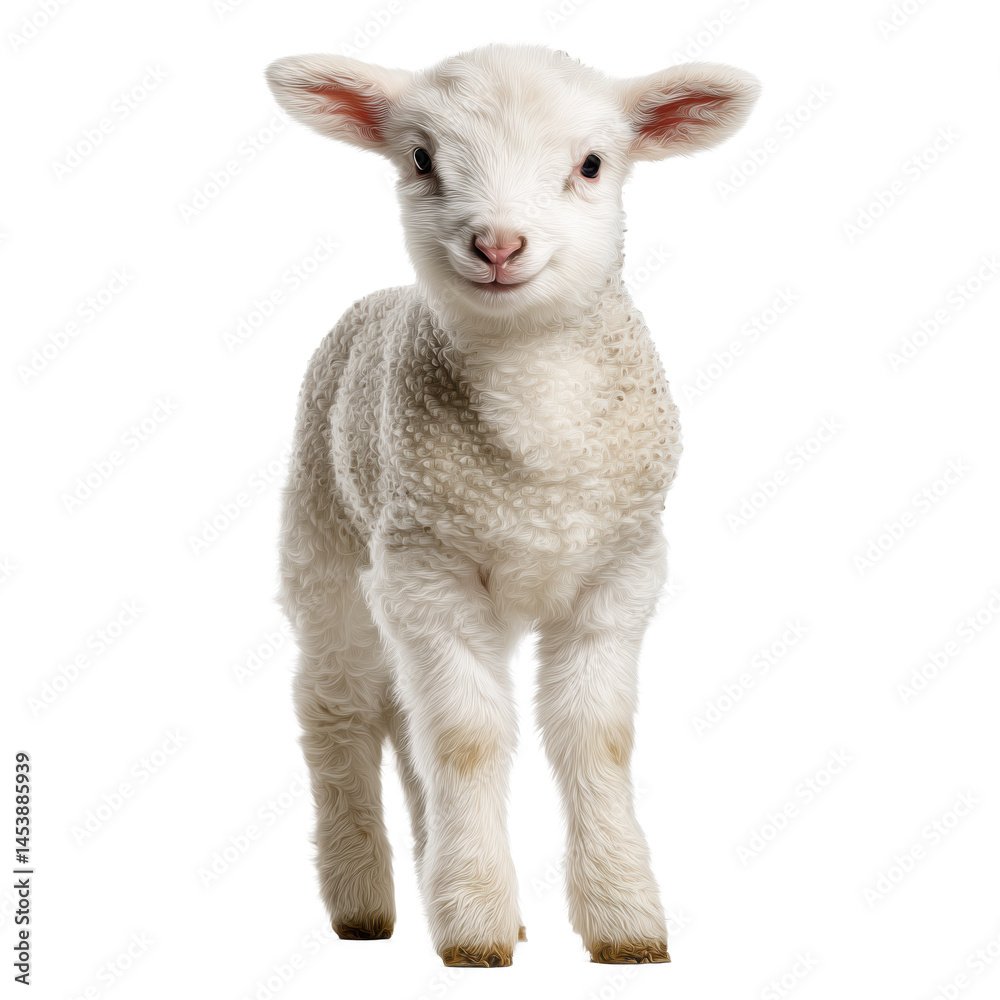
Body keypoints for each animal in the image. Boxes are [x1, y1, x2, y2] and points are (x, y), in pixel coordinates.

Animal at [265, 43, 759, 967]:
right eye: (422, 158)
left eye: (591, 164)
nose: (497, 243)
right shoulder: (429, 567)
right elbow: (468, 741)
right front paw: (475, 926)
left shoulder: (621, 570)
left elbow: (593, 737)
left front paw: (622, 919)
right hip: (328, 542)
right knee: (341, 709)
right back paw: (365, 904)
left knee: (408, 725)